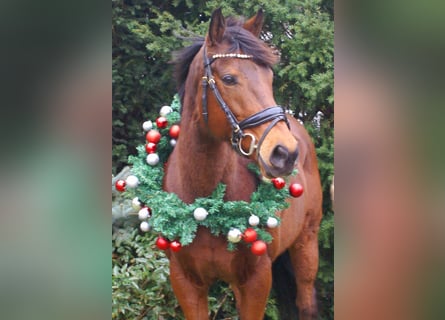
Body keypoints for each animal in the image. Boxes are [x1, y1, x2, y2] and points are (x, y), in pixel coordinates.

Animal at [162, 8, 320, 318]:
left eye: (269, 76)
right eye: (229, 78)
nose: (285, 153)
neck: (205, 204)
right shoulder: (186, 283)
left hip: (307, 243)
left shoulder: (257, 280)